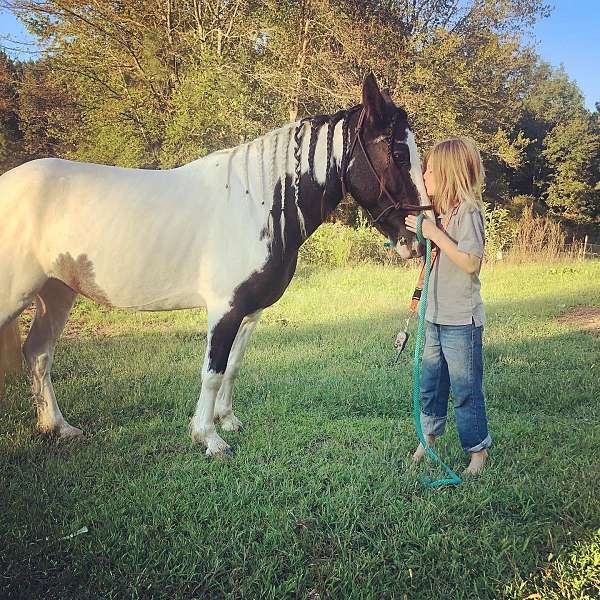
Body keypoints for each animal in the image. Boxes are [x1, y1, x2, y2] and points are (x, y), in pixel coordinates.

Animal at [1, 75, 432, 460]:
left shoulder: (250, 310)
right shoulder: (224, 308)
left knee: (38, 354)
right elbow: (212, 371)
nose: (418, 239)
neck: (258, 204)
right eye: (399, 155)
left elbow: (233, 366)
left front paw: (227, 420)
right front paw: (208, 438)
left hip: (56, 292)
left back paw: (58, 427)